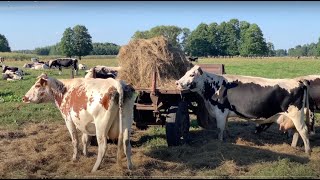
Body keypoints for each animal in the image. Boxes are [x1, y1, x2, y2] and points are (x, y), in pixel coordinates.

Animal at [176, 64, 312, 155]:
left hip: (296, 114)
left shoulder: (220, 112)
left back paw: (307, 151)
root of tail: (298, 81)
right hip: (293, 117)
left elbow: (220, 129)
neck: (214, 86)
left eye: (191, 74)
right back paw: (293, 147)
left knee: (303, 130)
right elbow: (225, 128)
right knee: (296, 132)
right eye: (186, 72)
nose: (177, 83)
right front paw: (227, 139)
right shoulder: (224, 114)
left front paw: (220, 142)